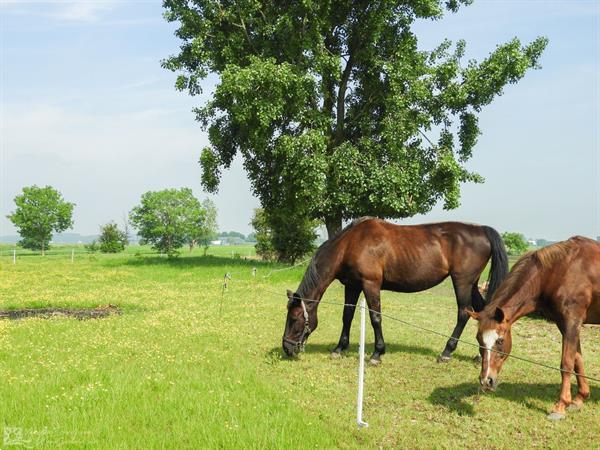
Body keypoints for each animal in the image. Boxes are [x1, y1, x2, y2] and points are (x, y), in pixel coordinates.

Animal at [282, 217, 506, 362]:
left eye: (294, 318)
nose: (287, 348)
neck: (350, 244)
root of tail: (482, 230)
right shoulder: (352, 286)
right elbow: (347, 315)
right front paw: (339, 349)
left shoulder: (370, 284)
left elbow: (375, 318)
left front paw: (377, 353)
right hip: (472, 284)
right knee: (482, 312)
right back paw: (481, 354)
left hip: (462, 282)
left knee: (463, 313)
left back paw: (446, 352)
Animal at [468, 237, 600, 420]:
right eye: (478, 339)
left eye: (500, 341)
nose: (486, 380)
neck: (561, 269)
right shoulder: (565, 324)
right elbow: (577, 360)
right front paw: (580, 398)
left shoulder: (572, 323)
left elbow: (566, 363)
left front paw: (560, 406)